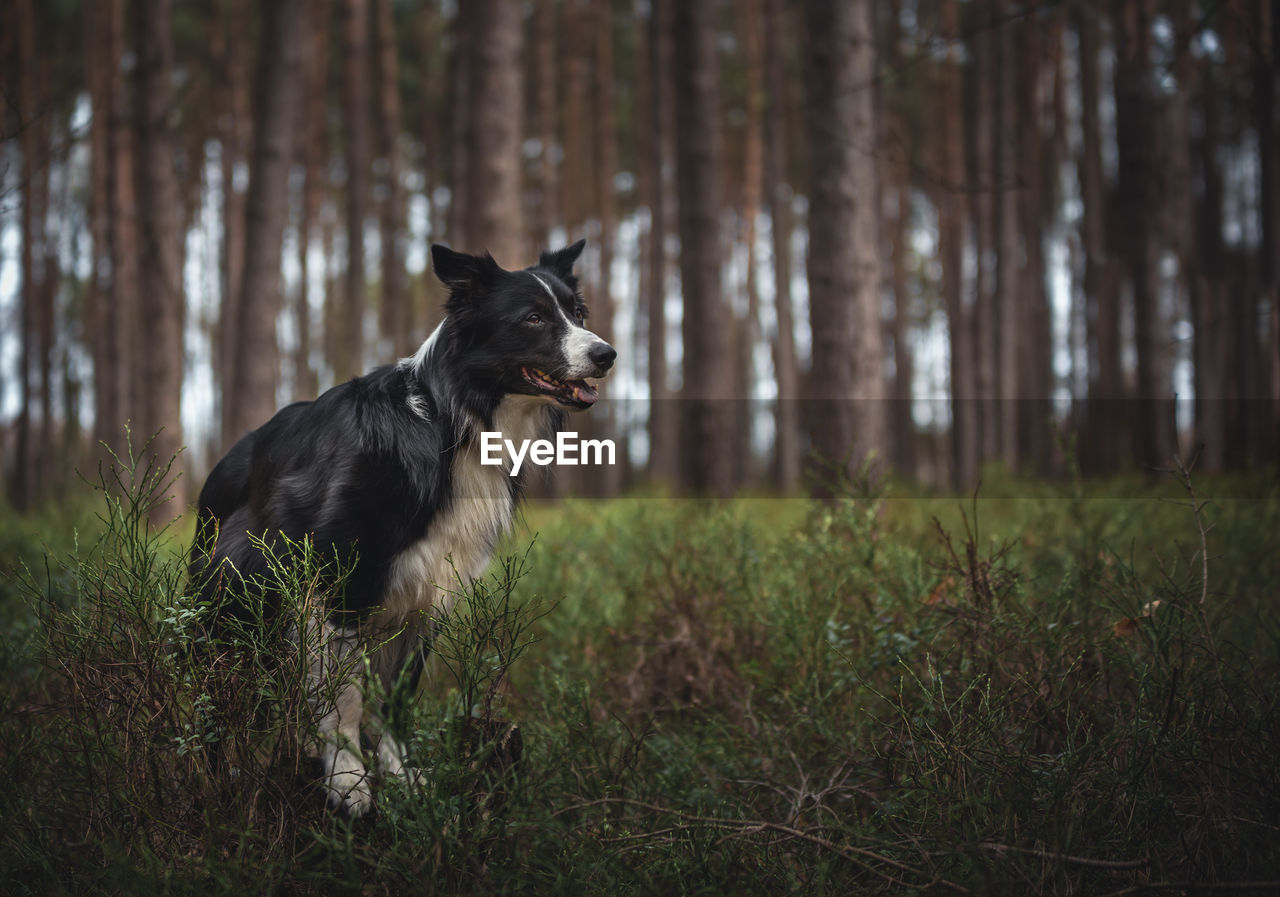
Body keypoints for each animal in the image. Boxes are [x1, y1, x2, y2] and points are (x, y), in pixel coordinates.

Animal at [189, 241, 614, 813]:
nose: (607, 354)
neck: (450, 423)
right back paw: (219, 774)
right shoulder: (341, 585)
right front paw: (349, 781)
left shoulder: (428, 594)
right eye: (533, 318)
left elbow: (396, 697)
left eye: (578, 314)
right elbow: (344, 698)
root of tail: (227, 461)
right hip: (234, 602)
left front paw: (401, 776)